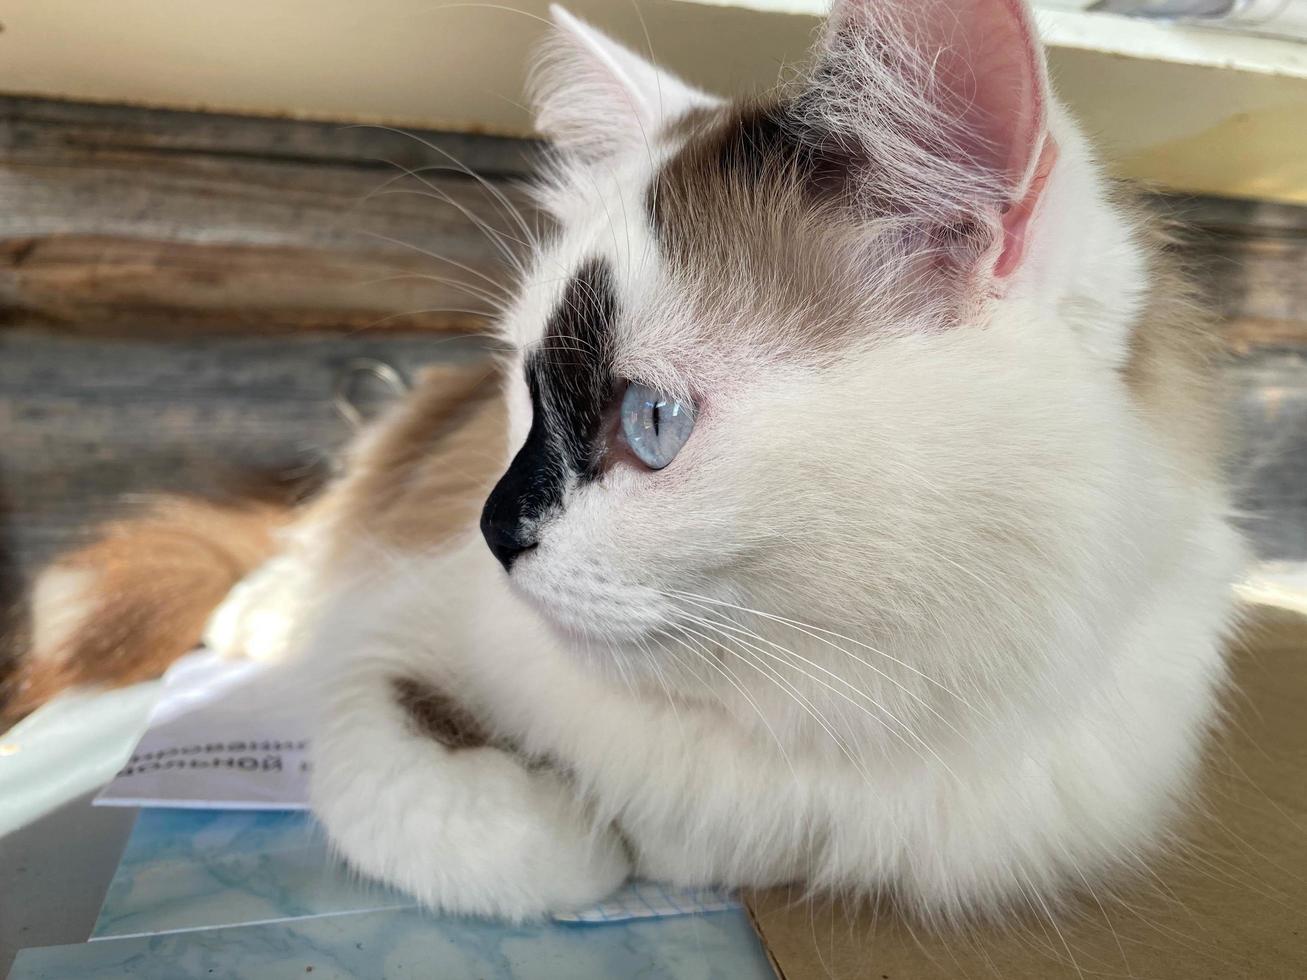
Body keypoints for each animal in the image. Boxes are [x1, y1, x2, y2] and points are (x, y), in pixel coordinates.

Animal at [10, 0, 1244, 925]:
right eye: (523, 391)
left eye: (649, 420)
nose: (488, 531)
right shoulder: (391, 639)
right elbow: (486, 827)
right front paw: (588, 833)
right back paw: (260, 614)